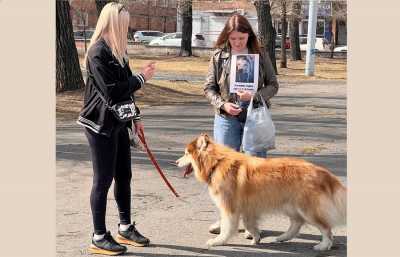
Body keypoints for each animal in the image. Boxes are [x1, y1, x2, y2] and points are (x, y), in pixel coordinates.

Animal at [177, 134, 346, 250]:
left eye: (186, 153)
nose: (176, 162)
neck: (216, 163)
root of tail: (321, 172)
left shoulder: (229, 208)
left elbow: (227, 227)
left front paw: (218, 241)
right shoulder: (248, 208)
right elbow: (249, 224)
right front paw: (256, 237)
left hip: (306, 208)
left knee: (326, 228)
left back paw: (323, 246)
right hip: (289, 205)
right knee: (296, 223)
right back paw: (282, 238)